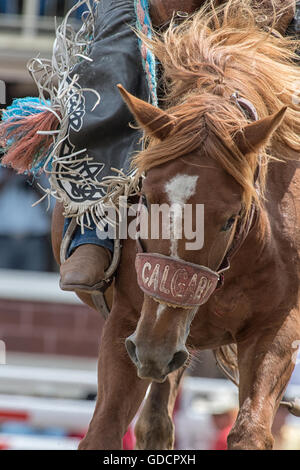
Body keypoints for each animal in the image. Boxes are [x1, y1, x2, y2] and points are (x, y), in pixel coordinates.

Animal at [51, 0, 300, 450]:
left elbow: (250, 431)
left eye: (231, 217)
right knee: (155, 420)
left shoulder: (277, 330)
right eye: (146, 198)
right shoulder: (129, 322)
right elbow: (104, 431)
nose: (152, 350)